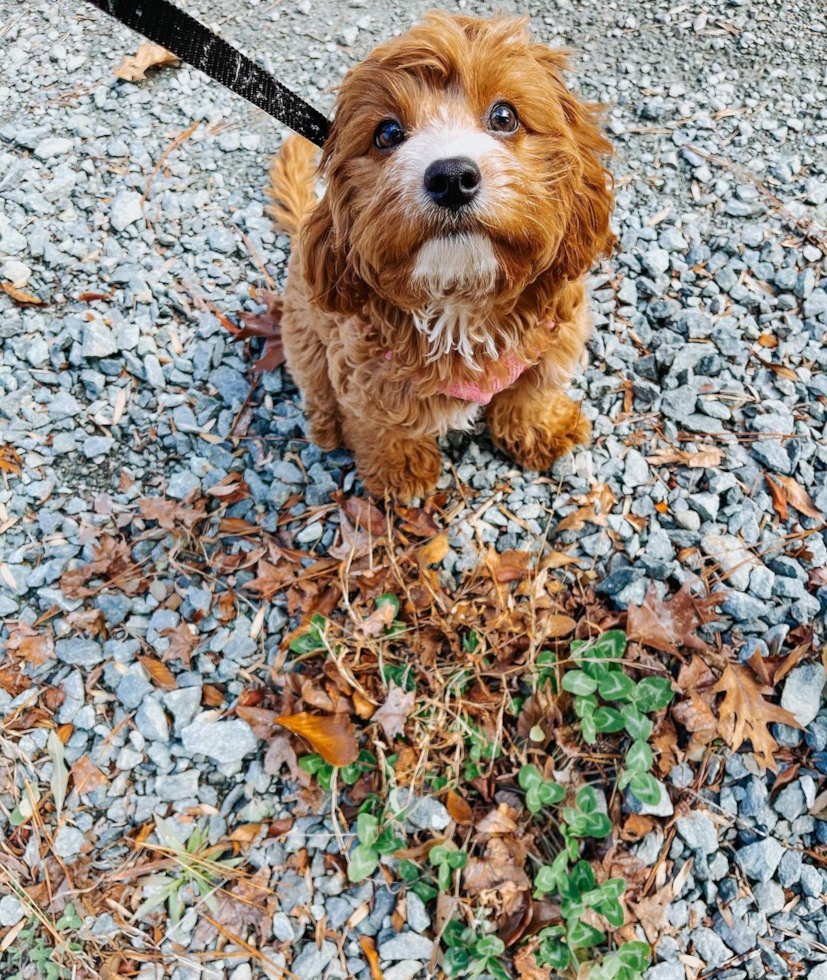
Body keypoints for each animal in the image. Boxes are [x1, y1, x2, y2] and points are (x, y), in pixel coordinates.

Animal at [266, 13, 616, 506]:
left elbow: (532, 392)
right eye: (387, 134)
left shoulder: (552, 339)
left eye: (504, 116)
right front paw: (399, 472)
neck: (459, 300)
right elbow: (381, 427)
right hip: (303, 334)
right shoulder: (365, 373)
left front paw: (539, 430)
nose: (452, 177)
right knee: (317, 389)